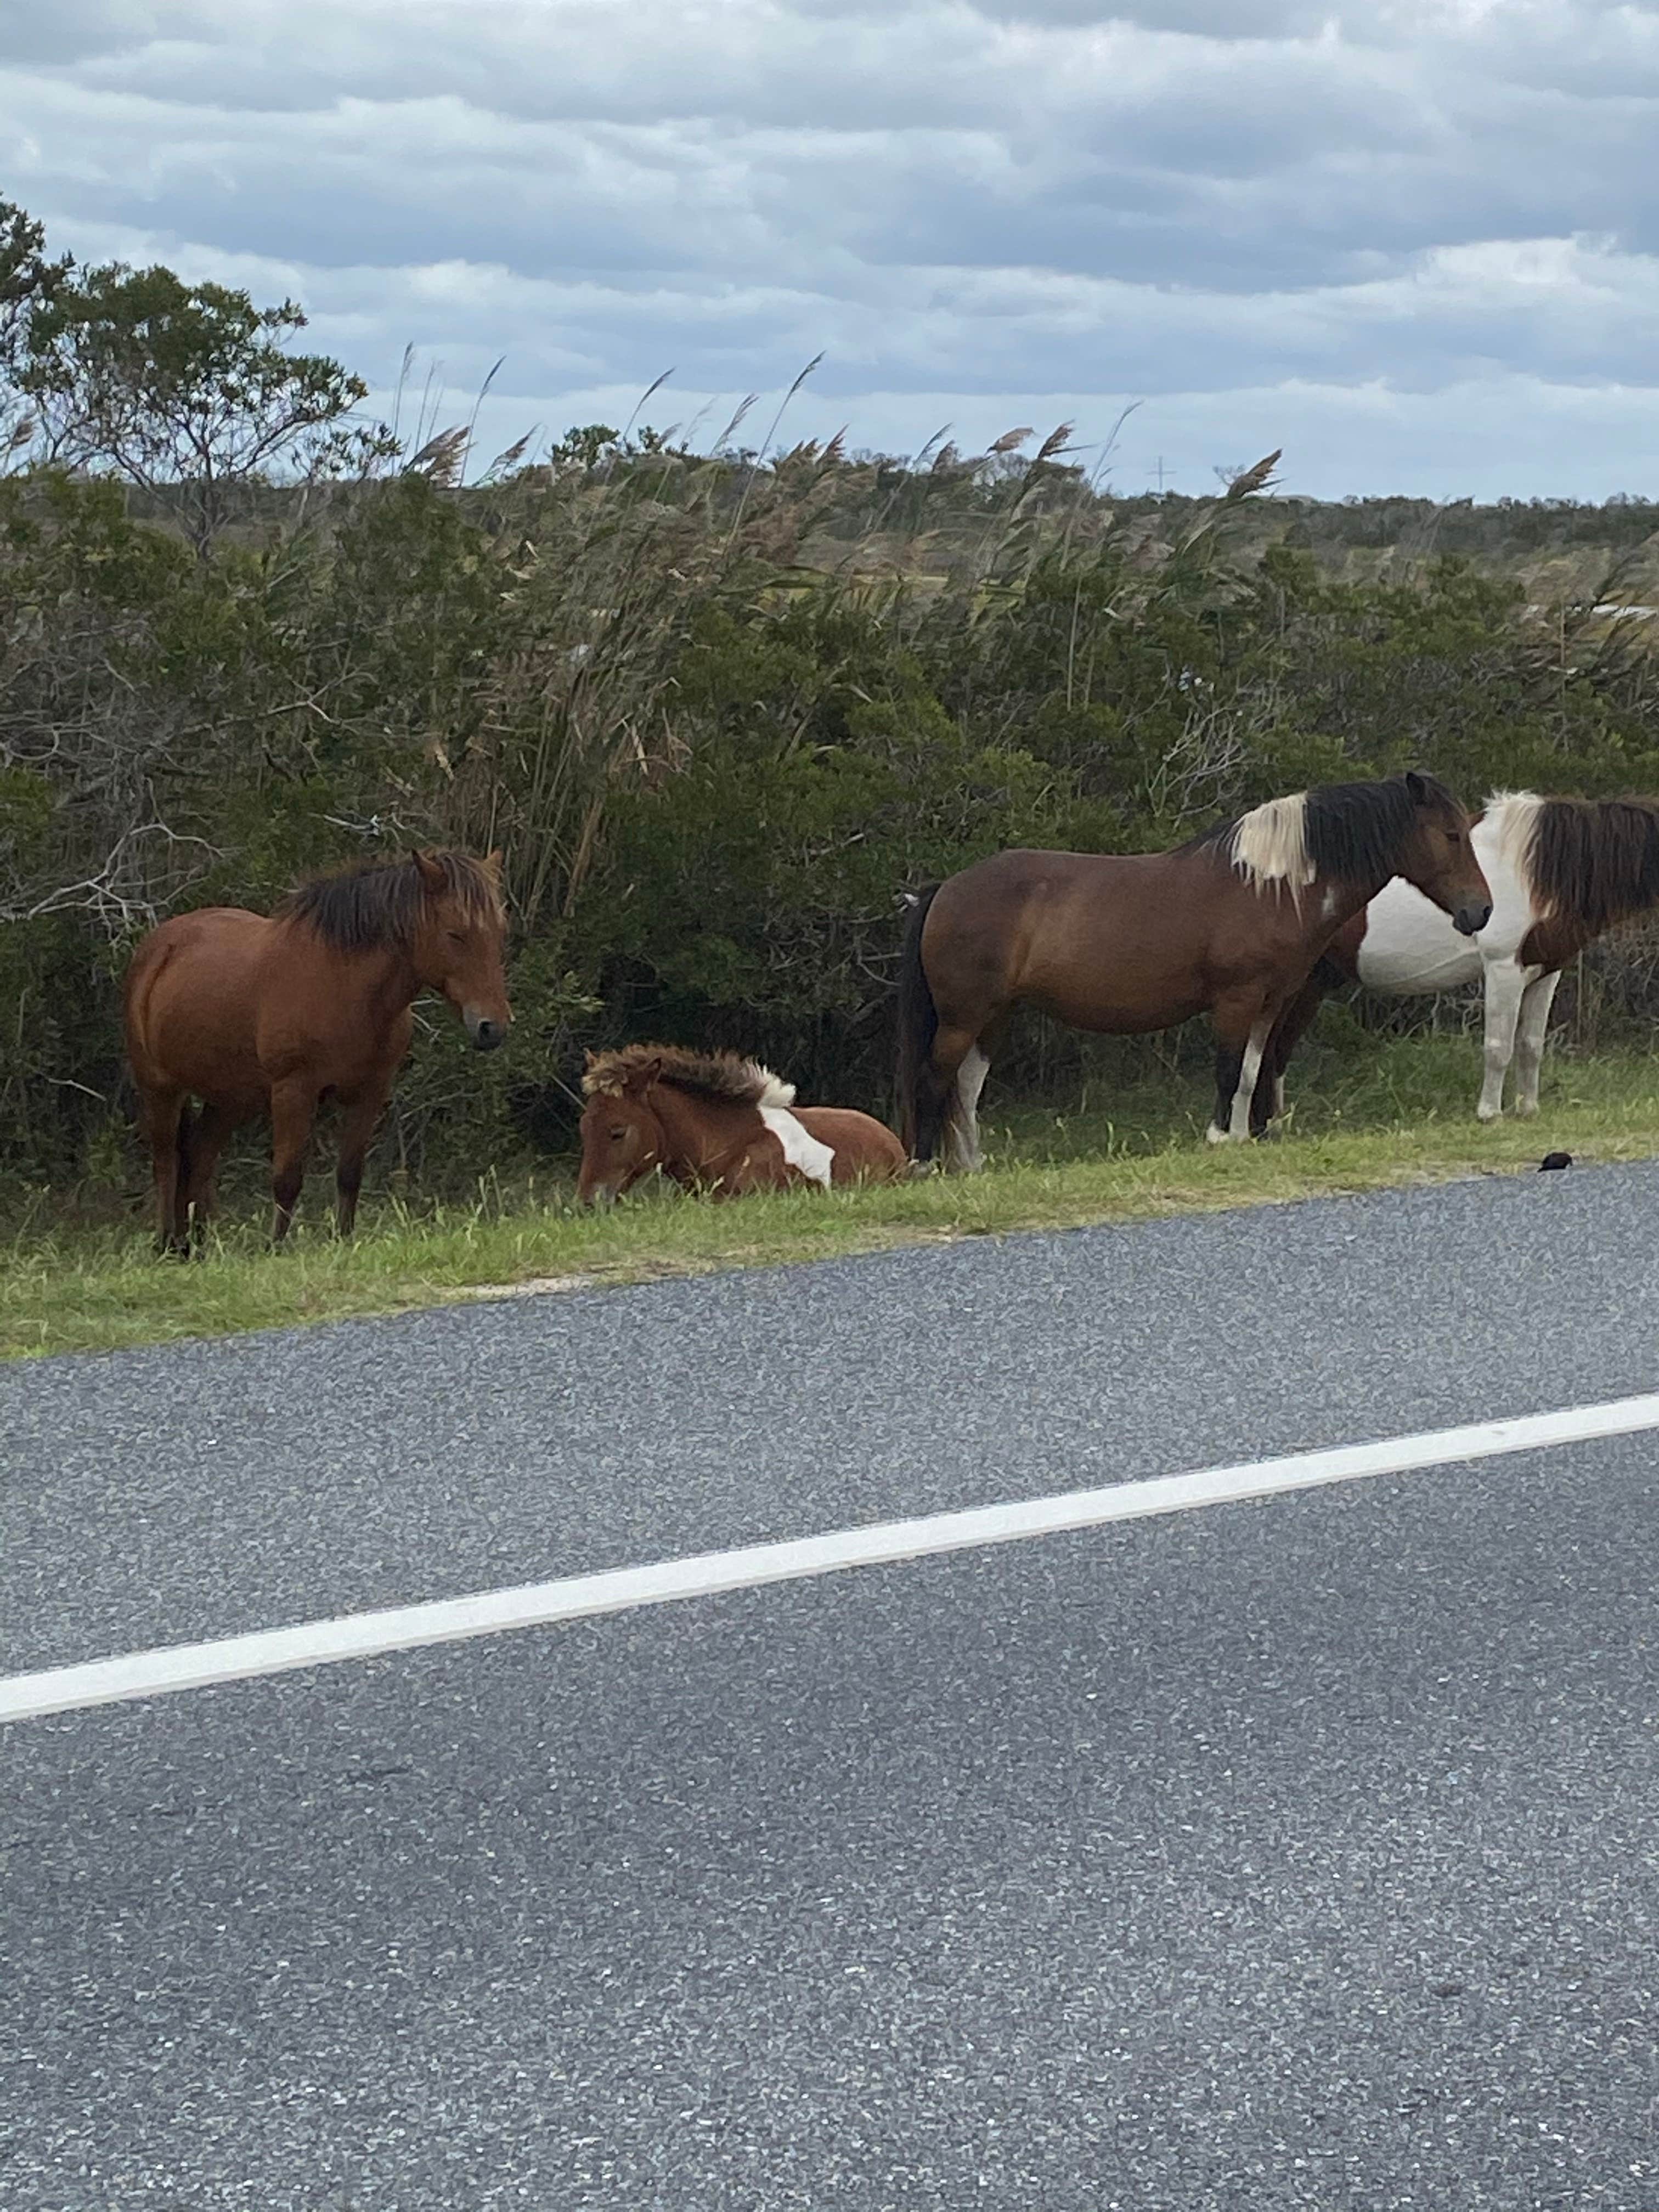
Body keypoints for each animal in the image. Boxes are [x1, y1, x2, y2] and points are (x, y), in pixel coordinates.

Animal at [124, 848, 511, 1250]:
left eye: (500, 932)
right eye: (455, 934)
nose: (492, 1027)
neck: (345, 986)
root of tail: (158, 948)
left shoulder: (370, 1094)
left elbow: (350, 1174)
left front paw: (344, 1240)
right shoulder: (294, 1092)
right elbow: (287, 1178)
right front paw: (275, 1248)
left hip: (228, 1100)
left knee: (199, 1158)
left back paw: (198, 1246)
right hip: (160, 1089)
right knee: (166, 1163)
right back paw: (167, 1242)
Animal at [895, 770, 1492, 1168]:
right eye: (1452, 835)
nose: (1480, 911)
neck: (1271, 887)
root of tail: (945, 889)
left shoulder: (1269, 1004)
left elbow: (1250, 1072)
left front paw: (1242, 1139)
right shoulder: (1236, 1000)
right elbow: (1228, 1070)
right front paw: (1217, 1138)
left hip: (993, 1017)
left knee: (964, 1089)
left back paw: (971, 1167)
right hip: (964, 1016)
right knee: (934, 1079)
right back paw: (925, 1166)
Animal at [1260, 790, 1659, 1125]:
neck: (1531, 871)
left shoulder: (1546, 973)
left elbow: (1531, 1045)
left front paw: (1528, 1109)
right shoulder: (1503, 968)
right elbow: (1499, 1047)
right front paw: (1489, 1114)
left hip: (1311, 984)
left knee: (1278, 1047)